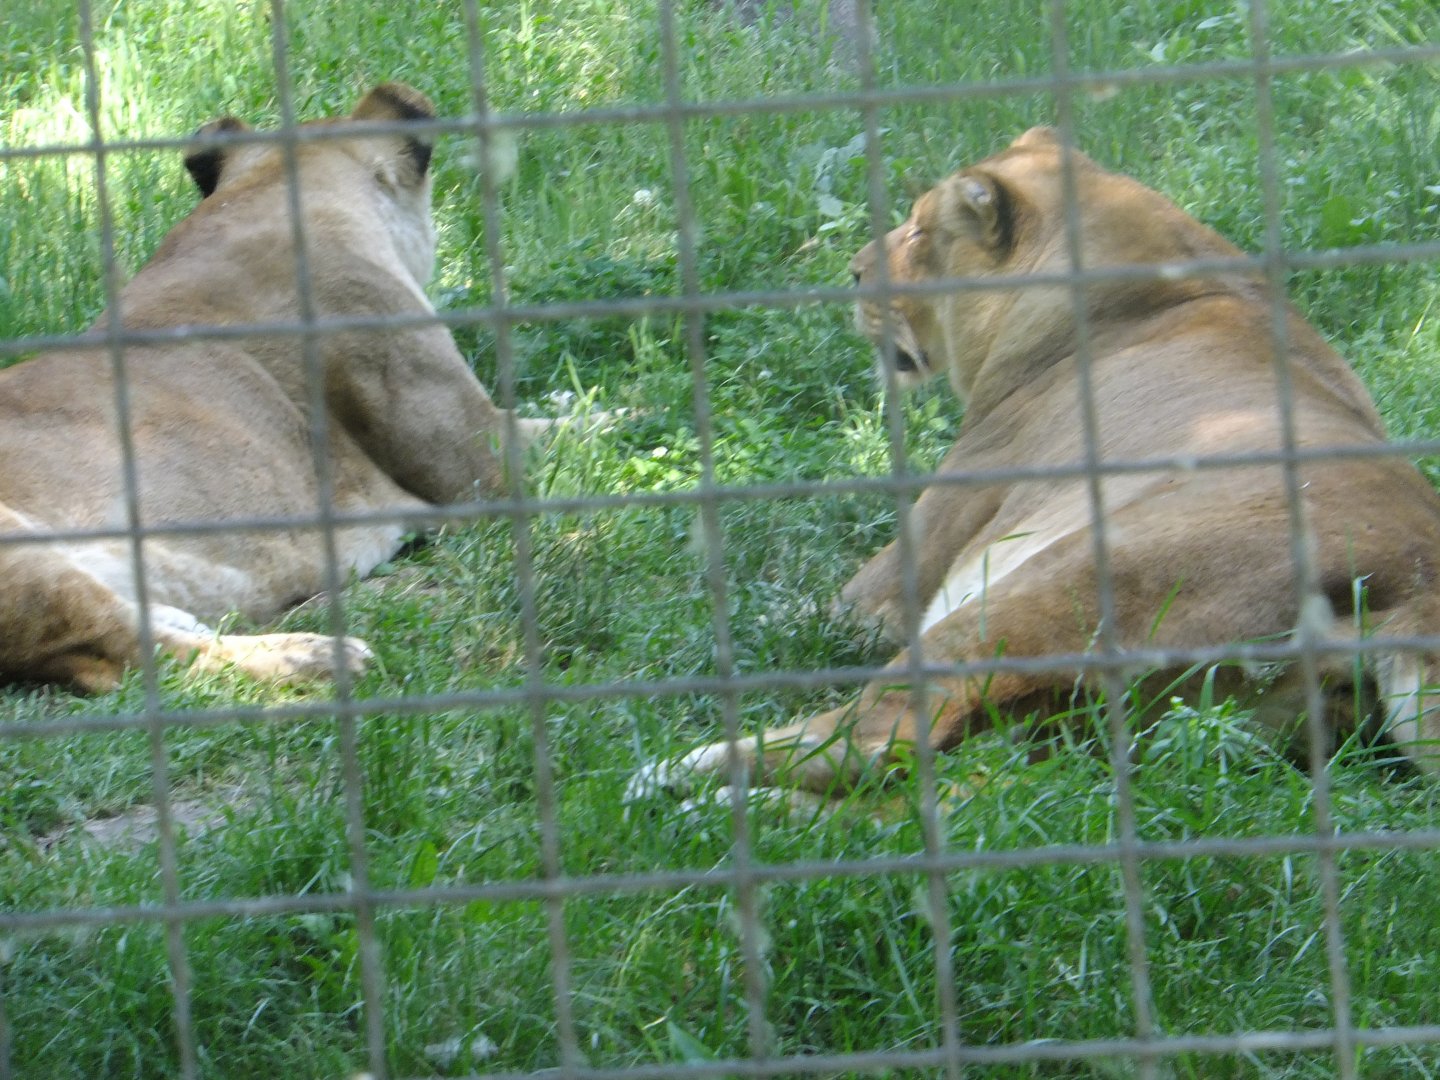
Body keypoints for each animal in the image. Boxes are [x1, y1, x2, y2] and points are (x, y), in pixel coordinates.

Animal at [633, 126, 1440, 801]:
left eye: (919, 230)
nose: (855, 272)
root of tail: (1407, 596)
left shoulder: (894, 579)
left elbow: (781, 603)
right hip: (1082, 736)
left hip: (1053, 587)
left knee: (875, 743)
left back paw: (680, 775)